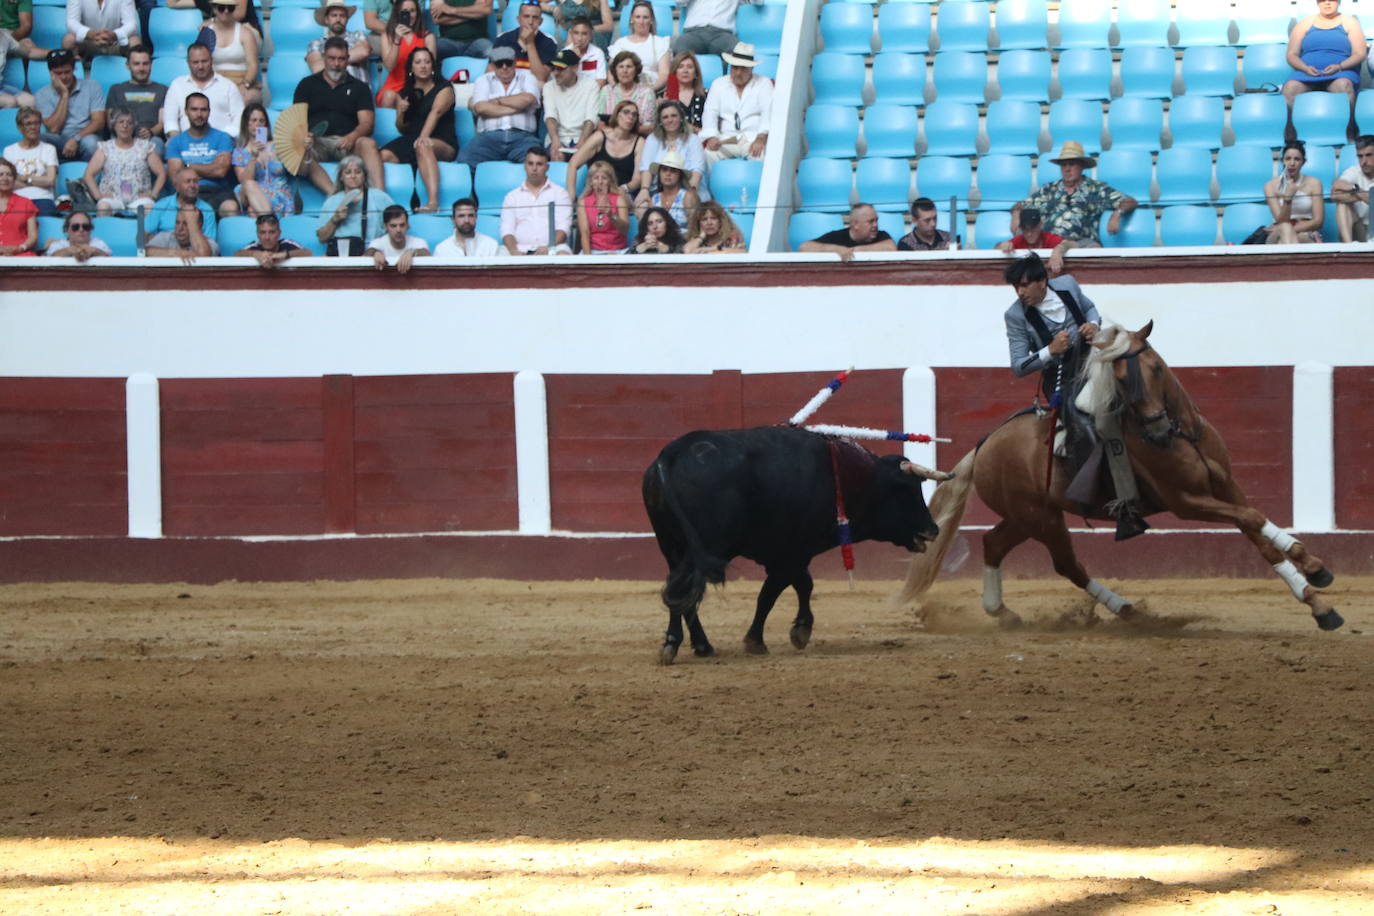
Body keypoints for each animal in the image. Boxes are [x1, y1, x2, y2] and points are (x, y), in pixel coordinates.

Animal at [640, 425, 945, 661]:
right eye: (907, 489)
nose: (933, 529)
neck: (846, 478)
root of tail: (670, 455)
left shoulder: (788, 555)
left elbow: (797, 585)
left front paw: (797, 630)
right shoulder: (791, 553)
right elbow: (775, 593)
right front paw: (763, 639)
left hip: (672, 546)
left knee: (680, 591)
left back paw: (698, 646)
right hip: (705, 546)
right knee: (683, 592)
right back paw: (679, 644)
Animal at [890, 322, 1341, 631]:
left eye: (1156, 369)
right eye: (1121, 379)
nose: (1157, 431)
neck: (1182, 434)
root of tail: (986, 444)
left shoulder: (1226, 486)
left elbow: (1257, 530)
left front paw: (1316, 593)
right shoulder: (1186, 503)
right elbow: (1251, 520)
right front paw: (1314, 572)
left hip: (1026, 516)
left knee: (993, 543)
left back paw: (1003, 611)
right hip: (1041, 518)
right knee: (1067, 564)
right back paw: (1125, 608)